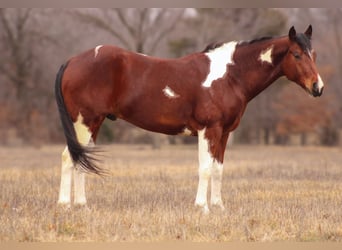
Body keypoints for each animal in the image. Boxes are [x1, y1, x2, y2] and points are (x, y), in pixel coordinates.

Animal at [55, 24, 324, 213]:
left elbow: (218, 169)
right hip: (84, 122)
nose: (318, 87)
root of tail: (72, 61)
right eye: (296, 54)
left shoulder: (224, 134)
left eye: (314, 54)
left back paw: (81, 205)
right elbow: (205, 168)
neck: (230, 75)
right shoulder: (208, 130)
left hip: (94, 123)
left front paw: (218, 206)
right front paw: (202, 207)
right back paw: (65, 205)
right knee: (69, 157)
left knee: (80, 159)